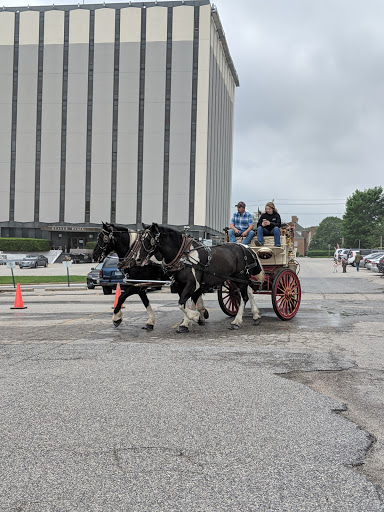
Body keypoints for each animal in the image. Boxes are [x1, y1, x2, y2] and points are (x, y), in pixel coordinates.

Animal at [133, 223, 264, 332]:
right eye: (140, 239)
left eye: (149, 240)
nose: (137, 259)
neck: (183, 256)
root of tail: (247, 248)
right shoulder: (180, 285)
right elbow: (184, 303)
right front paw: (186, 323)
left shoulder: (192, 284)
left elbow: (181, 303)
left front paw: (196, 317)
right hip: (237, 279)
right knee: (249, 292)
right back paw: (256, 315)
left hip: (241, 277)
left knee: (244, 297)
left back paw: (236, 321)